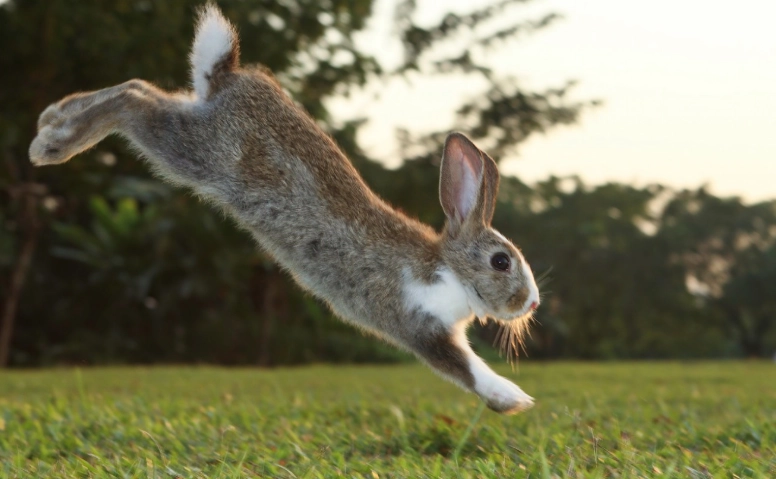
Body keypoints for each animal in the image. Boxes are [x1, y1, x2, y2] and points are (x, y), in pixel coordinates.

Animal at [29, 3, 540, 414]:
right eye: (501, 261)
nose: (532, 302)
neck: (447, 267)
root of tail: (229, 76)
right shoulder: (419, 325)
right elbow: (465, 368)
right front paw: (514, 399)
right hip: (194, 151)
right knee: (133, 100)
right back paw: (51, 144)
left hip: (191, 125)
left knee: (141, 88)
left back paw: (52, 117)